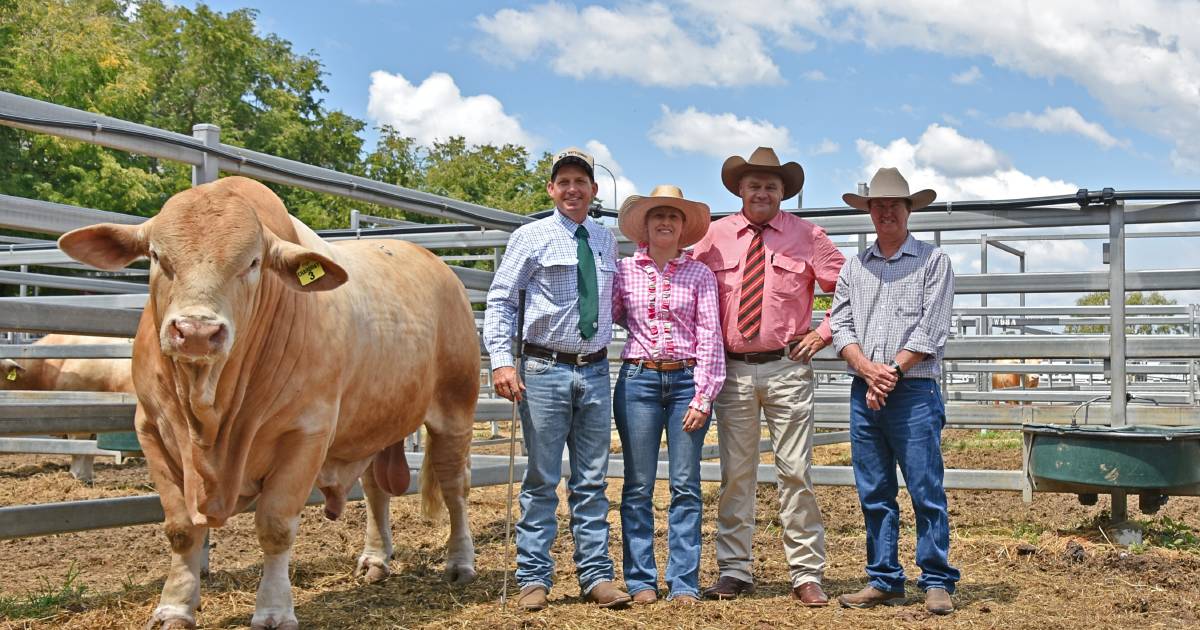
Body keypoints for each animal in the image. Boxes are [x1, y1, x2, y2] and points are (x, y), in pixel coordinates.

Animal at [56, 176, 477, 628]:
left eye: (253, 263)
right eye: (156, 256)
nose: (197, 331)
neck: (209, 412)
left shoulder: (306, 434)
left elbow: (275, 527)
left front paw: (273, 609)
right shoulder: (151, 429)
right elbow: (181, 528)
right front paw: (175, 607)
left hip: (456, 409)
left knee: (454, 487)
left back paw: (460, 562)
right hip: (369, 425)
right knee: (375, 490)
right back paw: (376, 559)